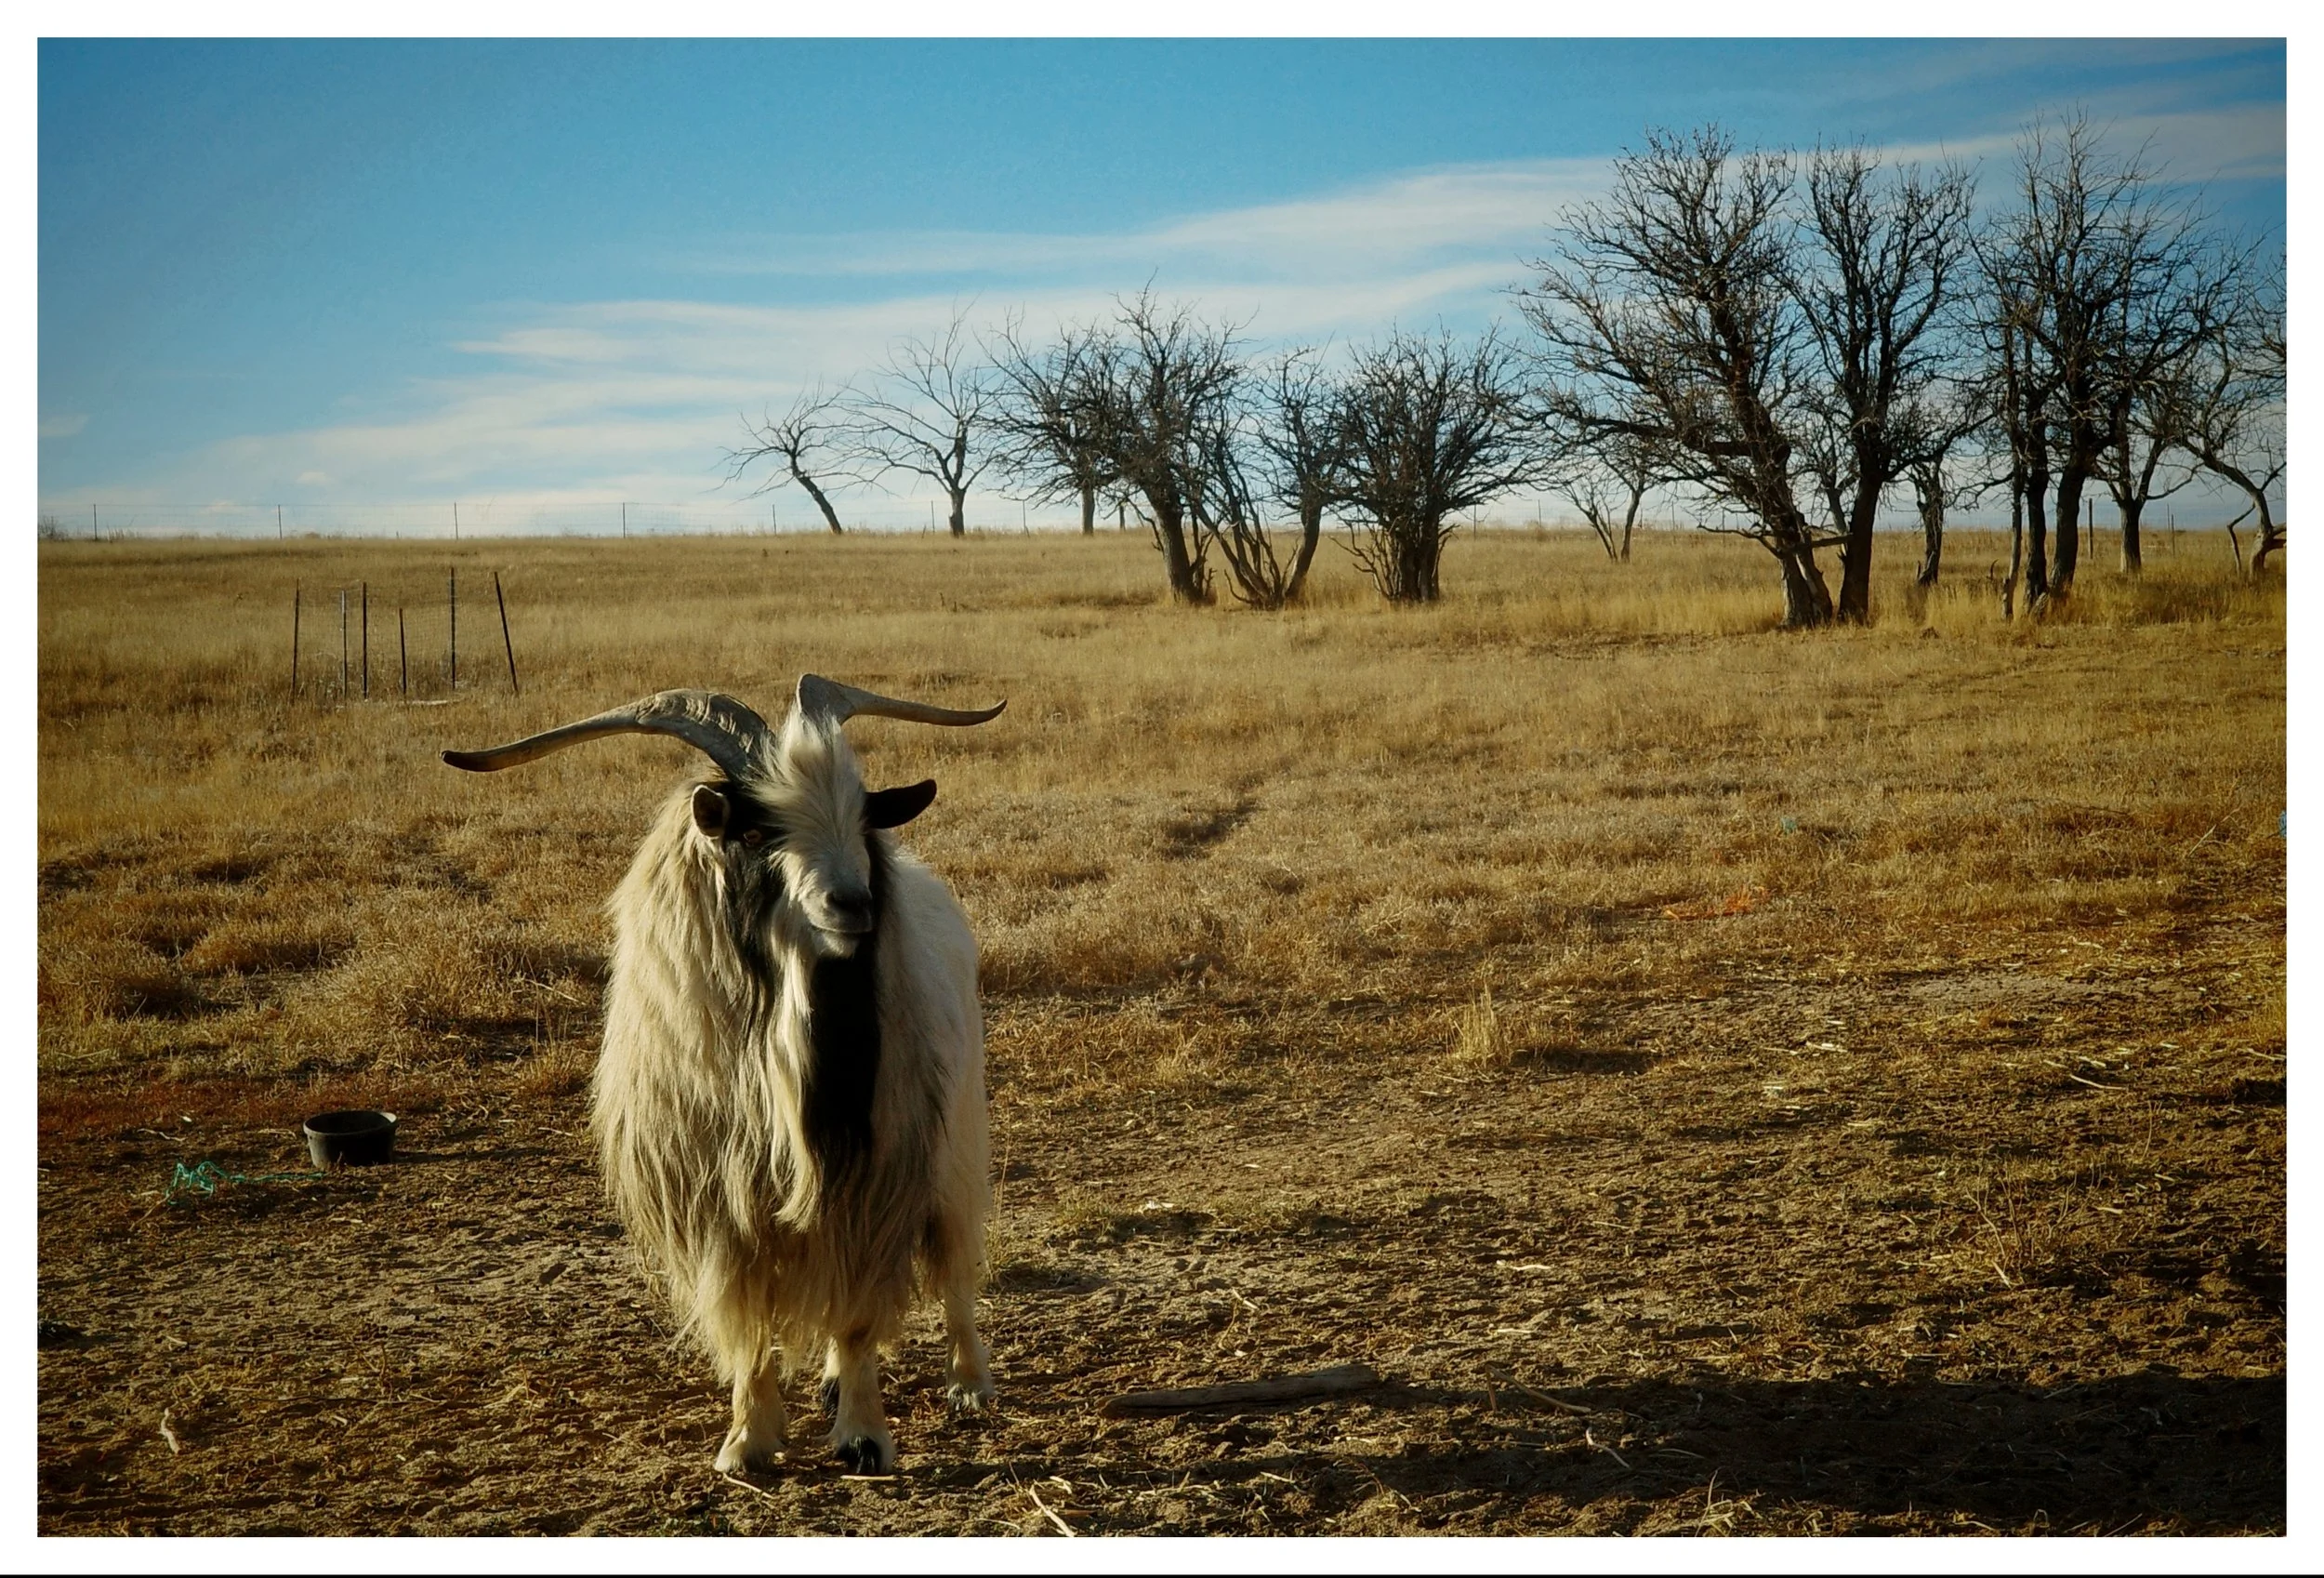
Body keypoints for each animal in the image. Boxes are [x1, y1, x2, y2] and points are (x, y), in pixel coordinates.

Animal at [443, 675, 1004, 1474]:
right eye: (755, 830)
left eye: (862, 814)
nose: (853, 903)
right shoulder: (717, 1203)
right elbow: (748, 1325)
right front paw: (748, 1439)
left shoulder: (875, 1177)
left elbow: (859, 1316)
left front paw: (863, 1435)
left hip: (955, 1145)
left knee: (955, 1269)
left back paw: (968, 1381)